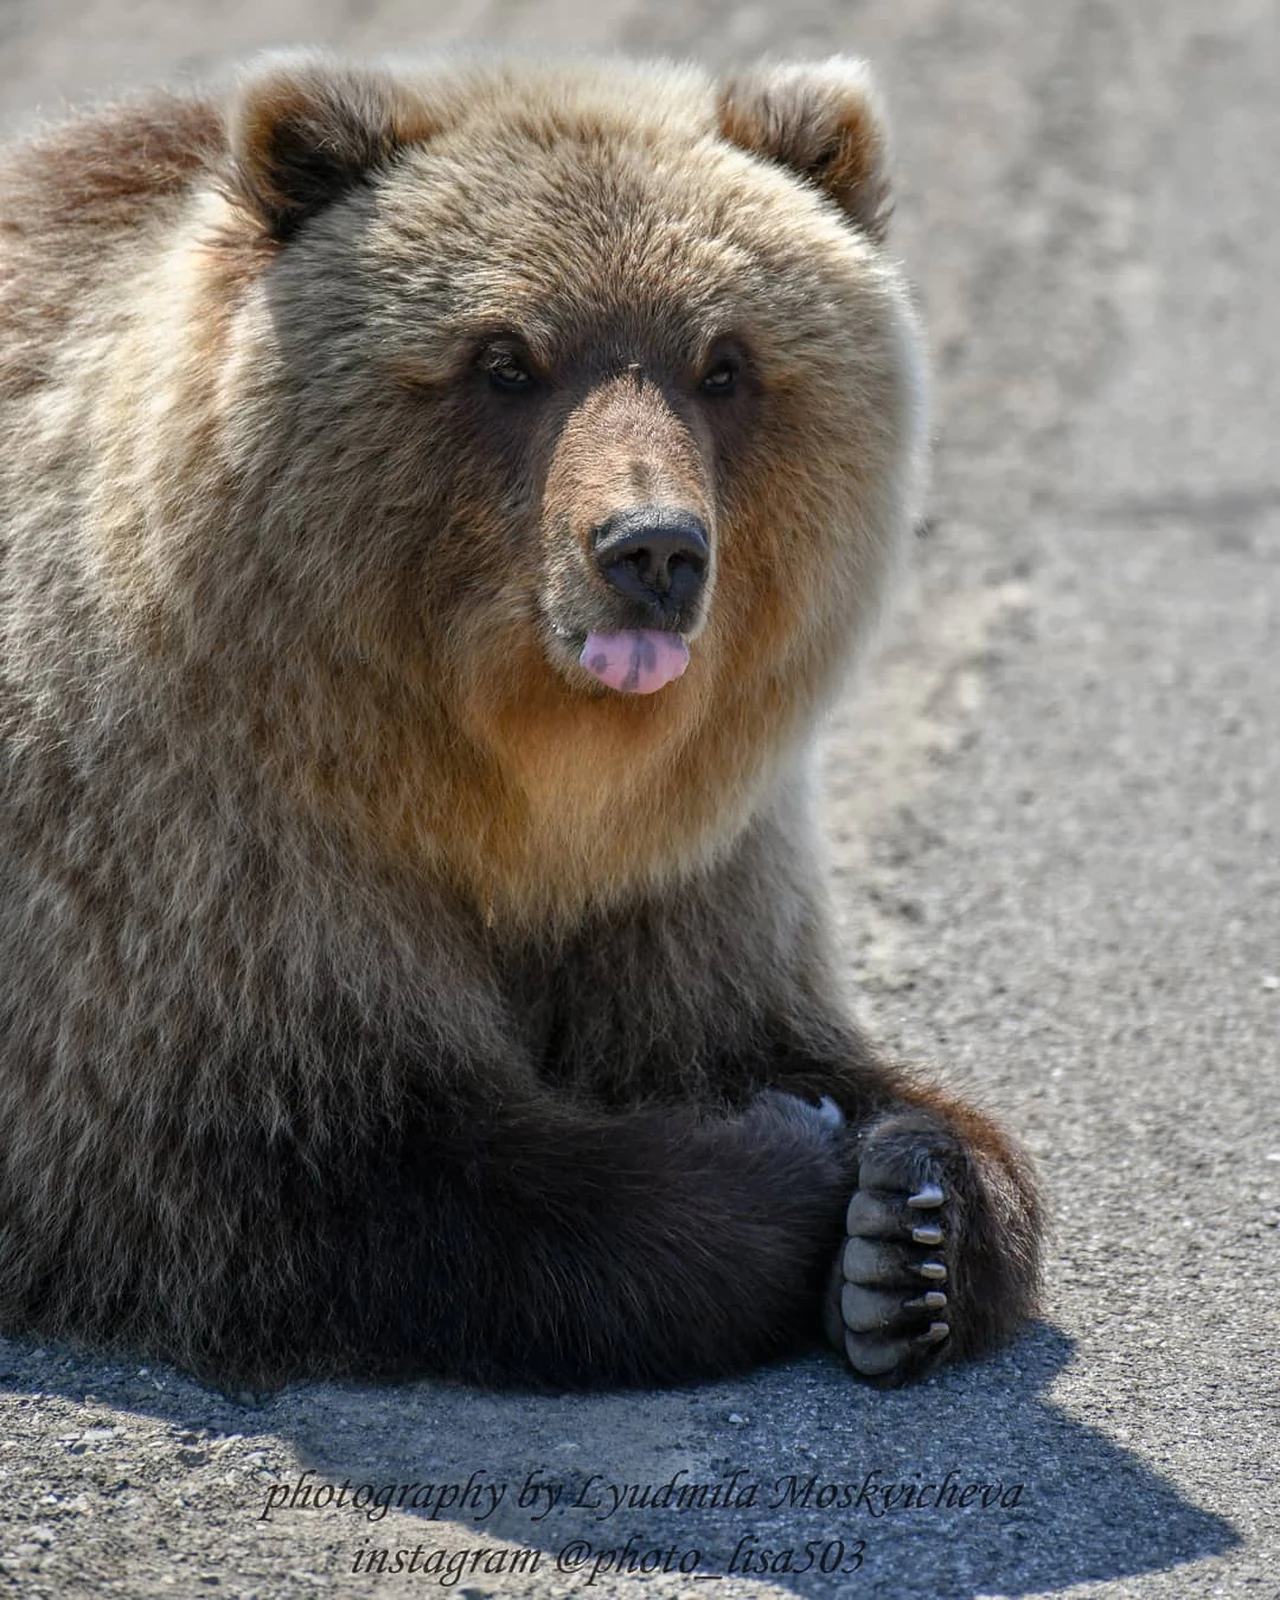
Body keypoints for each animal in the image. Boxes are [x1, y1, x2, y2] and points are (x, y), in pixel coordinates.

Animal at [0, 56, 1036, 1395]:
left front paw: (905, 1227)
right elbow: (310, 1158)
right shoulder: (195, 859)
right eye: (503, 356)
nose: (650, 549)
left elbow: (759, 1026)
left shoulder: (685, 863)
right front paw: (784, 1166)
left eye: (722, 362)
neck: (508, 780)